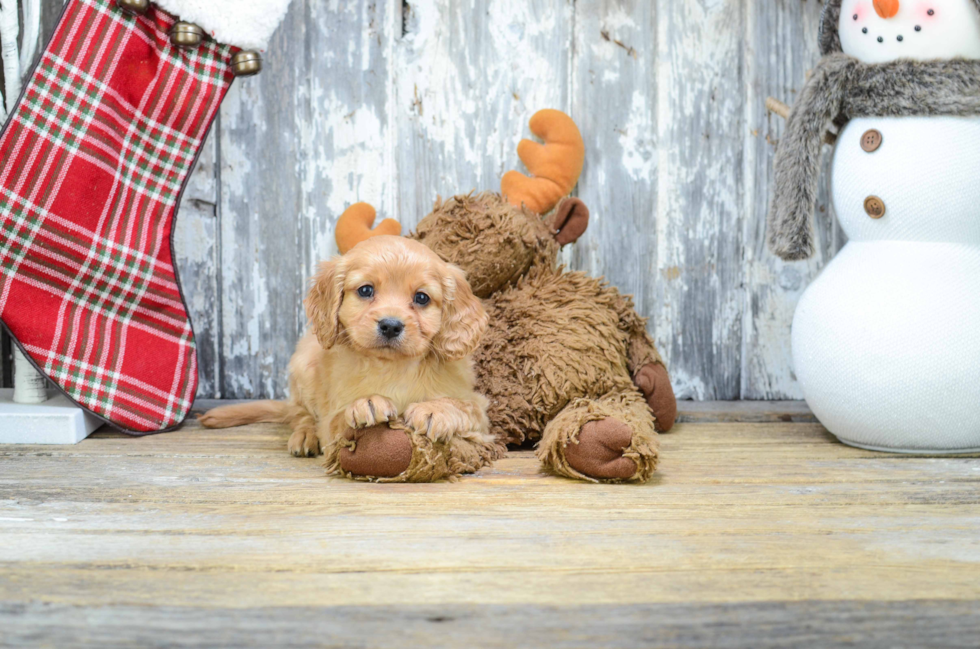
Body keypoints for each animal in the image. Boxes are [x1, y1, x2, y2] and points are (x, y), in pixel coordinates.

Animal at [198, 235, 494, 478]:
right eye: (365, 290)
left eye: (422, 298)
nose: (390, 325)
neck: (393, 368)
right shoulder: (333, 419)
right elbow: (338, 419)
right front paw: (366, 403)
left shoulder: (480, 412)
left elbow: (464, 406)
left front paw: (436, 410)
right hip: (303, 367)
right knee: (300, 414)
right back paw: (304, 436)